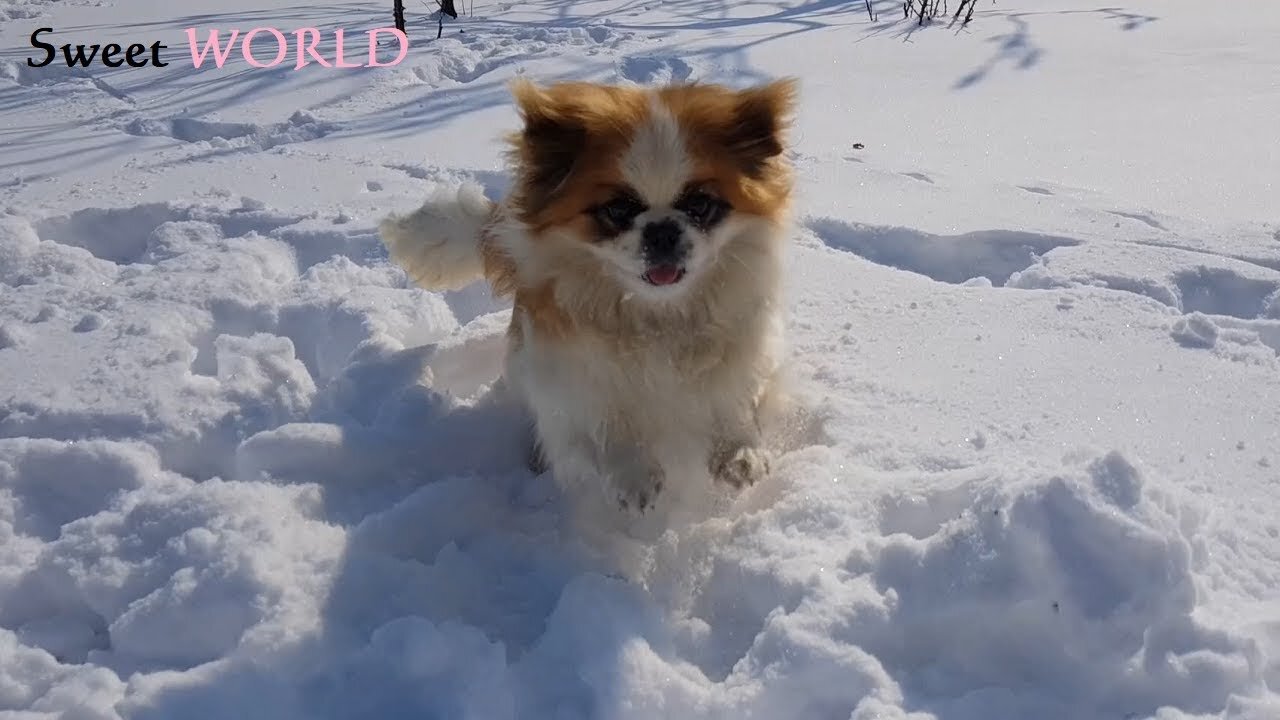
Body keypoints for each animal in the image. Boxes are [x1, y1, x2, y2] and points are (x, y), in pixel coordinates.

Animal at [378, 77, 798, 509]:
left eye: (700, 204)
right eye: (618, 210)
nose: (662, 230)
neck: (656, 314)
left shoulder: (742, 353)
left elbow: (734, 401)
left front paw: (740, 453)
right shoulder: (575, 374)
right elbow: (607, 420)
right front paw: (633, 475)